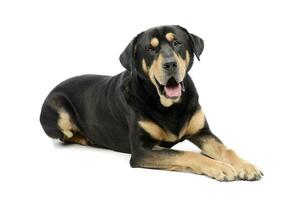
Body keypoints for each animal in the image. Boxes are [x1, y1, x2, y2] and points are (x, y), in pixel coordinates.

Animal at [39, 25, 262, 181]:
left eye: (177, 43)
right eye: (150, 49)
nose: (170, 64)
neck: (170, 105)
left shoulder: (202, 132)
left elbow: (225, 149)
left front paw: (245, 165)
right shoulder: (141, 151)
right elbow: (184, 154)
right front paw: (220, 167)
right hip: (58, 108)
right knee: (66, 136)